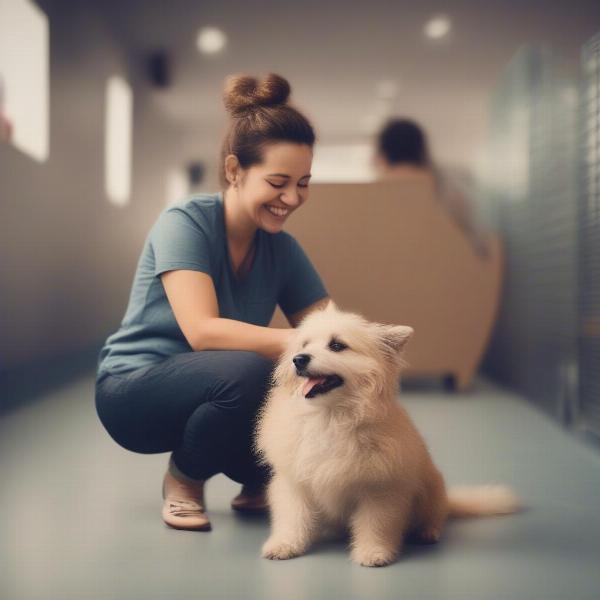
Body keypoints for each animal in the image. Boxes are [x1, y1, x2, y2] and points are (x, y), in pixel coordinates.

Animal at [254, 302, 520, 568]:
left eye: (337, 346)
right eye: (304, 345)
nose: (298, 359)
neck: (330, 417)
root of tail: (448, 501)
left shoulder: (380, 490)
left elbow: (375, 525)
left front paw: (373, 552)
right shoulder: (294, 484)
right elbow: (292, 518)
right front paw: (284, 545)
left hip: (432, 491)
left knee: (434, 517)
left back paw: (426, 532)